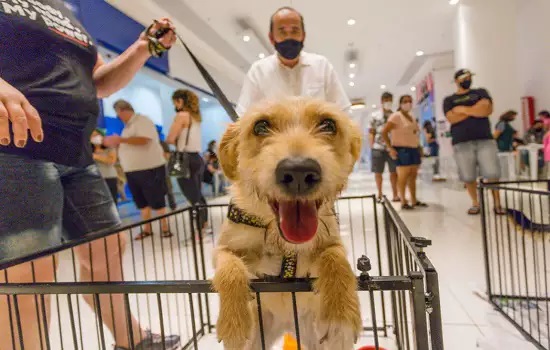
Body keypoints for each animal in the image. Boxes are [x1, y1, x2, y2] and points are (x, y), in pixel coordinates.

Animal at [213, 98, 364, 350]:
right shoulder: (224, 248)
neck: (281, 241)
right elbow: (229, 268)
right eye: (260, 126)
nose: (299, 172)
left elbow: (336, 260)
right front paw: (235, 322)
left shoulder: (333, 242)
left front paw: (340, 314)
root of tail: (286, 325)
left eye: (328, 124)